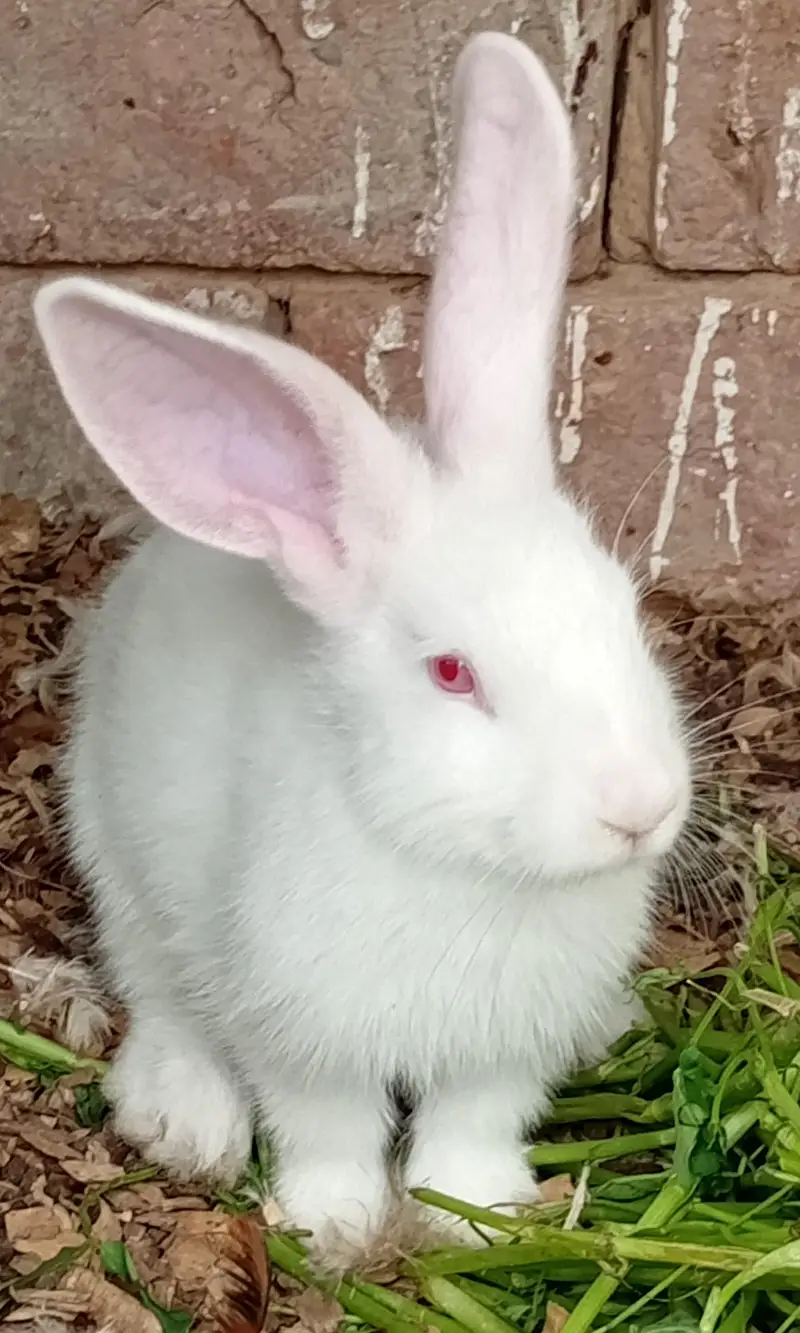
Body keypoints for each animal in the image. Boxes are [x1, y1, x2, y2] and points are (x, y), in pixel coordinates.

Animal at [33, 31, 692, 1265]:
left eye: (627, 612)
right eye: (452, 673)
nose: (639, 808)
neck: (461, 864)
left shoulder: (502, 1052)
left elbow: (469, 1130)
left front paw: (476, 1218)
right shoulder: (300, 1031)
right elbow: (328, 1126)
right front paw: (332, 1227)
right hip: (117, 860)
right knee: (160, 995)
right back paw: (183, 1115)